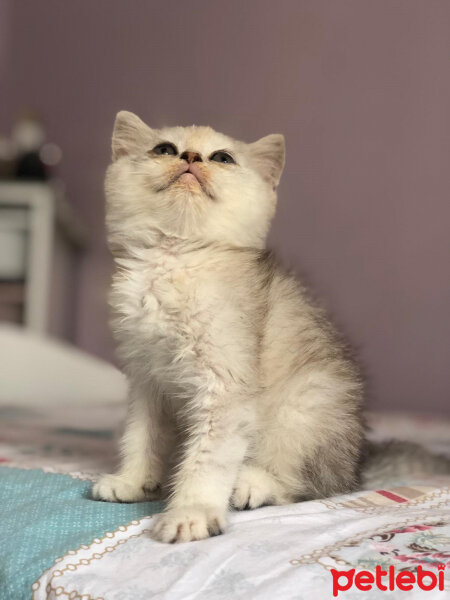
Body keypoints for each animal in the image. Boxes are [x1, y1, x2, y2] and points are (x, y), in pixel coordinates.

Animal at [92, 110, 366, 540]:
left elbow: (208, 458)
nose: (190, 157)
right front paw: (133, 481)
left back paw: (251, 484)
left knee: (311, 484)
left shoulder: (225, 384)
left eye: (222, 158)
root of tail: (359, 464)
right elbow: (140, 437)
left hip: (306, 404)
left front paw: (191, 513)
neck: (175, 258)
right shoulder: (147, 380)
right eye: (164, 149)